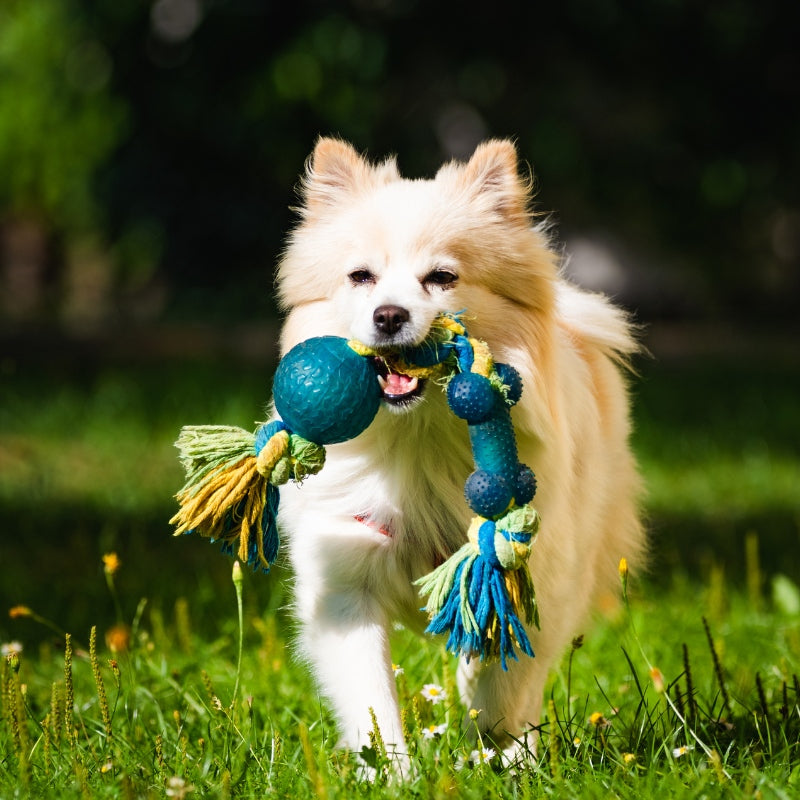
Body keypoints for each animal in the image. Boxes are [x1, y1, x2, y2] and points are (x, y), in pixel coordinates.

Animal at [274, 138, 644, 768]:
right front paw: (392, 772)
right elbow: (372, 699)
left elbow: (503, 676)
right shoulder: (345, 581)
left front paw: (496, 752)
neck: (418, 440)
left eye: (441, 277)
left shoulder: (530, 574)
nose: (389, 315)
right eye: (361, 277)